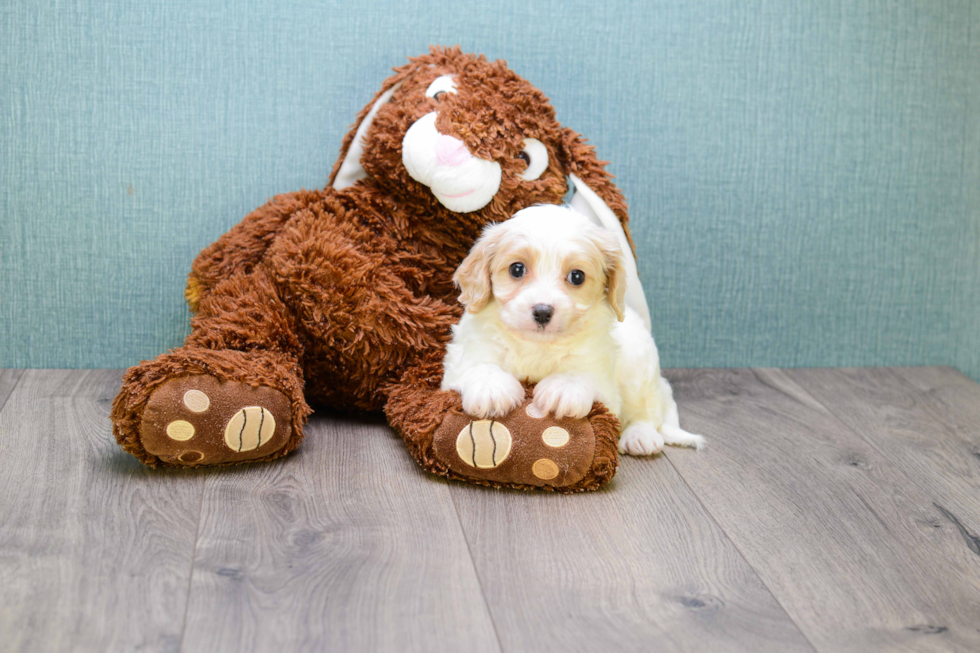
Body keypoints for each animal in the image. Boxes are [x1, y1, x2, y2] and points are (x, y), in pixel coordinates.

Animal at [440, 204, 700, 454]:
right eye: (517, 269)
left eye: (577, 276)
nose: (542, 311)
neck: (538, 345)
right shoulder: (465, 355)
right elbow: (478, 365)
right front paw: (491, 386)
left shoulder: (602, 375)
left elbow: (584, 375)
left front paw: (565, 387)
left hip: (638, 371)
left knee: (648, 409)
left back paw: (640, 436)